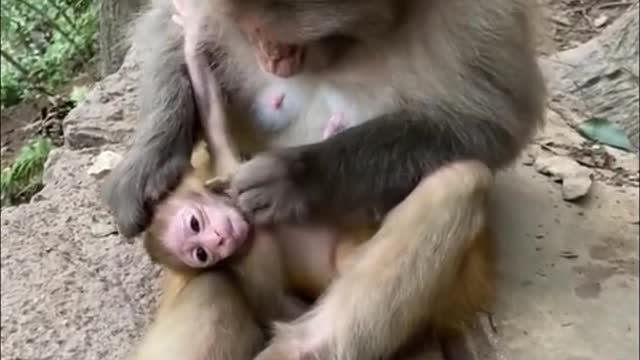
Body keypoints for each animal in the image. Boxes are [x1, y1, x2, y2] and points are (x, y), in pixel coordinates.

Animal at [105, 0, 544, 360]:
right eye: (254, 33)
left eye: (282, 38)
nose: (271, 56)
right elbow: (173, 24)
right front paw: (149, 162)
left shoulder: (484, 12)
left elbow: (492, 122)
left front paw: (294, 177)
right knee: (212, 286)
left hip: (453, 287)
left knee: (458, 181)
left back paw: (302, 349)